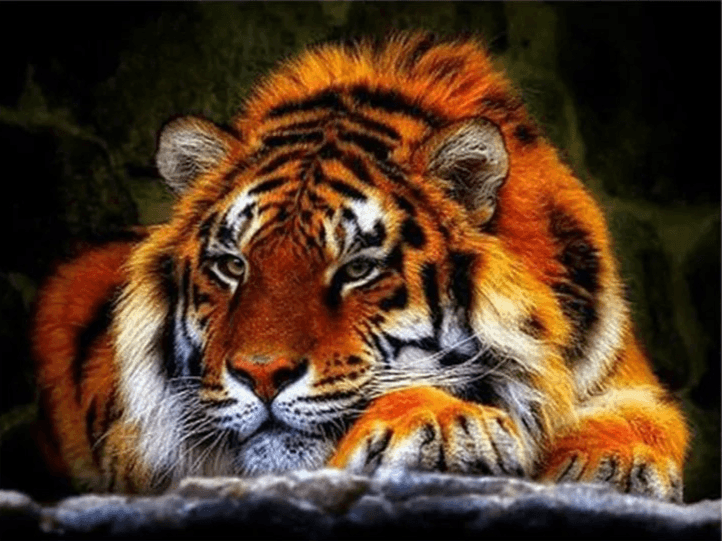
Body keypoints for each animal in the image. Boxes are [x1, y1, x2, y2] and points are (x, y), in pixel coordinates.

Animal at [32, 32, 688, 501]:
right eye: (232, 265)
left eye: (357, 269)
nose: (261, 375)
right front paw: (447, 424)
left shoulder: (624, 377)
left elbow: (645, 419)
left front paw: (611, 463)